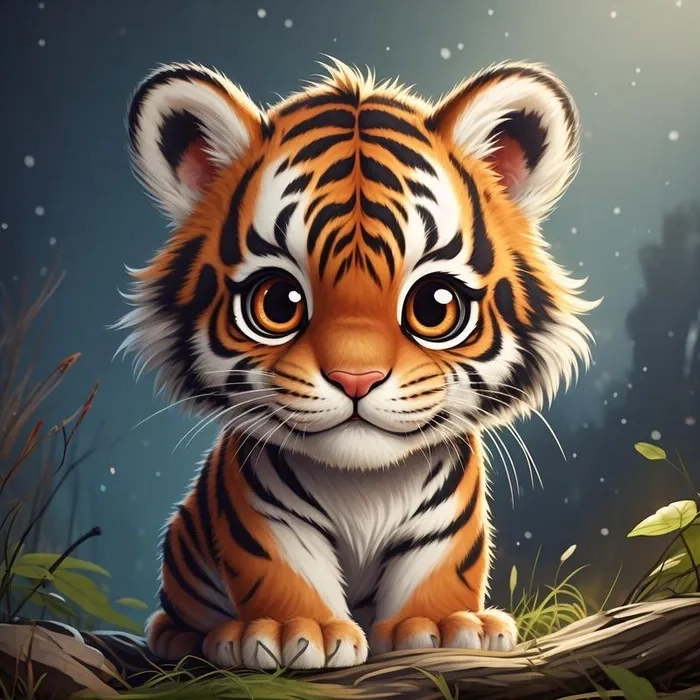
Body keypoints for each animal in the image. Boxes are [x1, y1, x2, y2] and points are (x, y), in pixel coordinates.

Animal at [115, 57, 597, 671]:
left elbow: (438, 568)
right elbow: (283, 572)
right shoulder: (265, 521)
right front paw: (292, 632)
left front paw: (443, 624)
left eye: (434, 306)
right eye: (278, 303)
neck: (364, 486)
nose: (356, 379)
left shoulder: (446, 524)